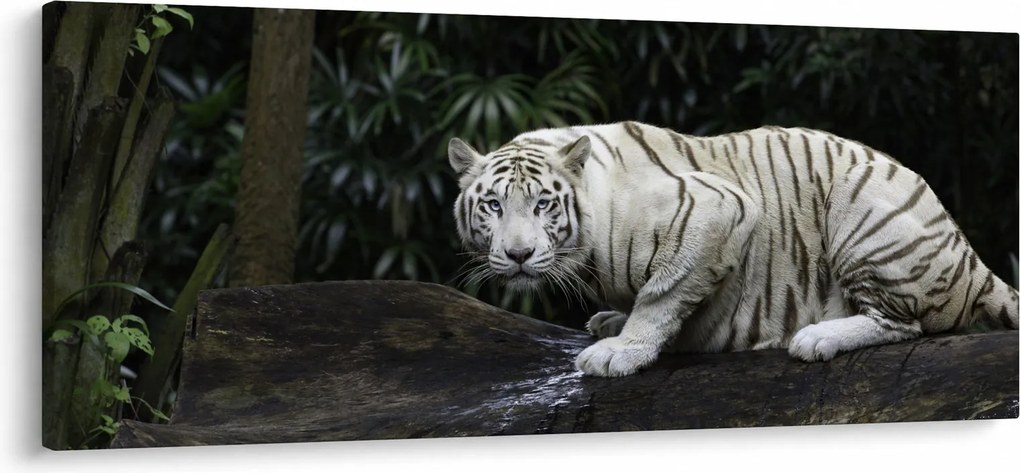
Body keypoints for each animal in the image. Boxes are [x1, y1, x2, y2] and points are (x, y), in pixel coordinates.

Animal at [448, 121, 1019, 377]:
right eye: (494, 206)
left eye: (543, 204)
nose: (519, 255)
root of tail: (970, 258)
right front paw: (613, 323)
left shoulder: (721, 209)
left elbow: (662, 294)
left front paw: (621, 350)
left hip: (861, 205)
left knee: (906, 323)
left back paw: (816, 337)